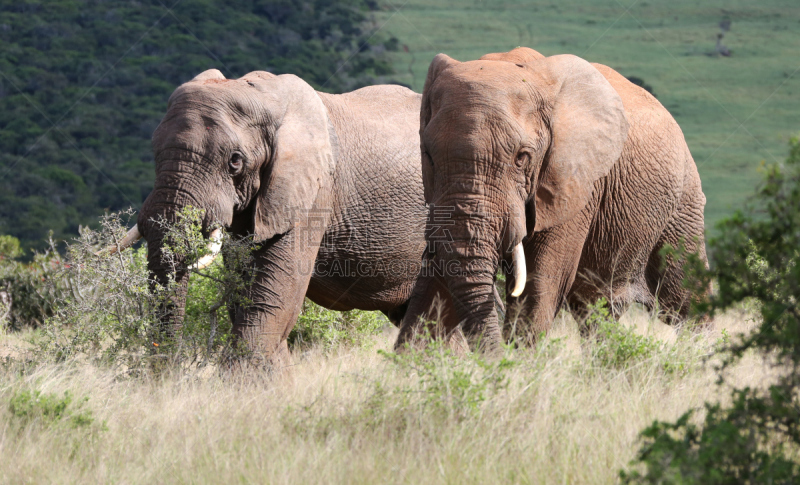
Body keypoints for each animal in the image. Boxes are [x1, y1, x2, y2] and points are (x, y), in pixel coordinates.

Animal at [115, 69, 438, 366]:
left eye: (235, 161)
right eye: (154, 151)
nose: (165, 372)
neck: (263, 96)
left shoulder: (312, 192)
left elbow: (271, 294)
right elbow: (242, 289)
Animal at [396, 48, 708, 352]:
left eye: (522, 158)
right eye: (428, 155)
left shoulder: (575, 183)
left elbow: (541, 283)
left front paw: (518, 363)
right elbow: (434, 287)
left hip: (683, 202)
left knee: (685, 302)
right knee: (595, 312)